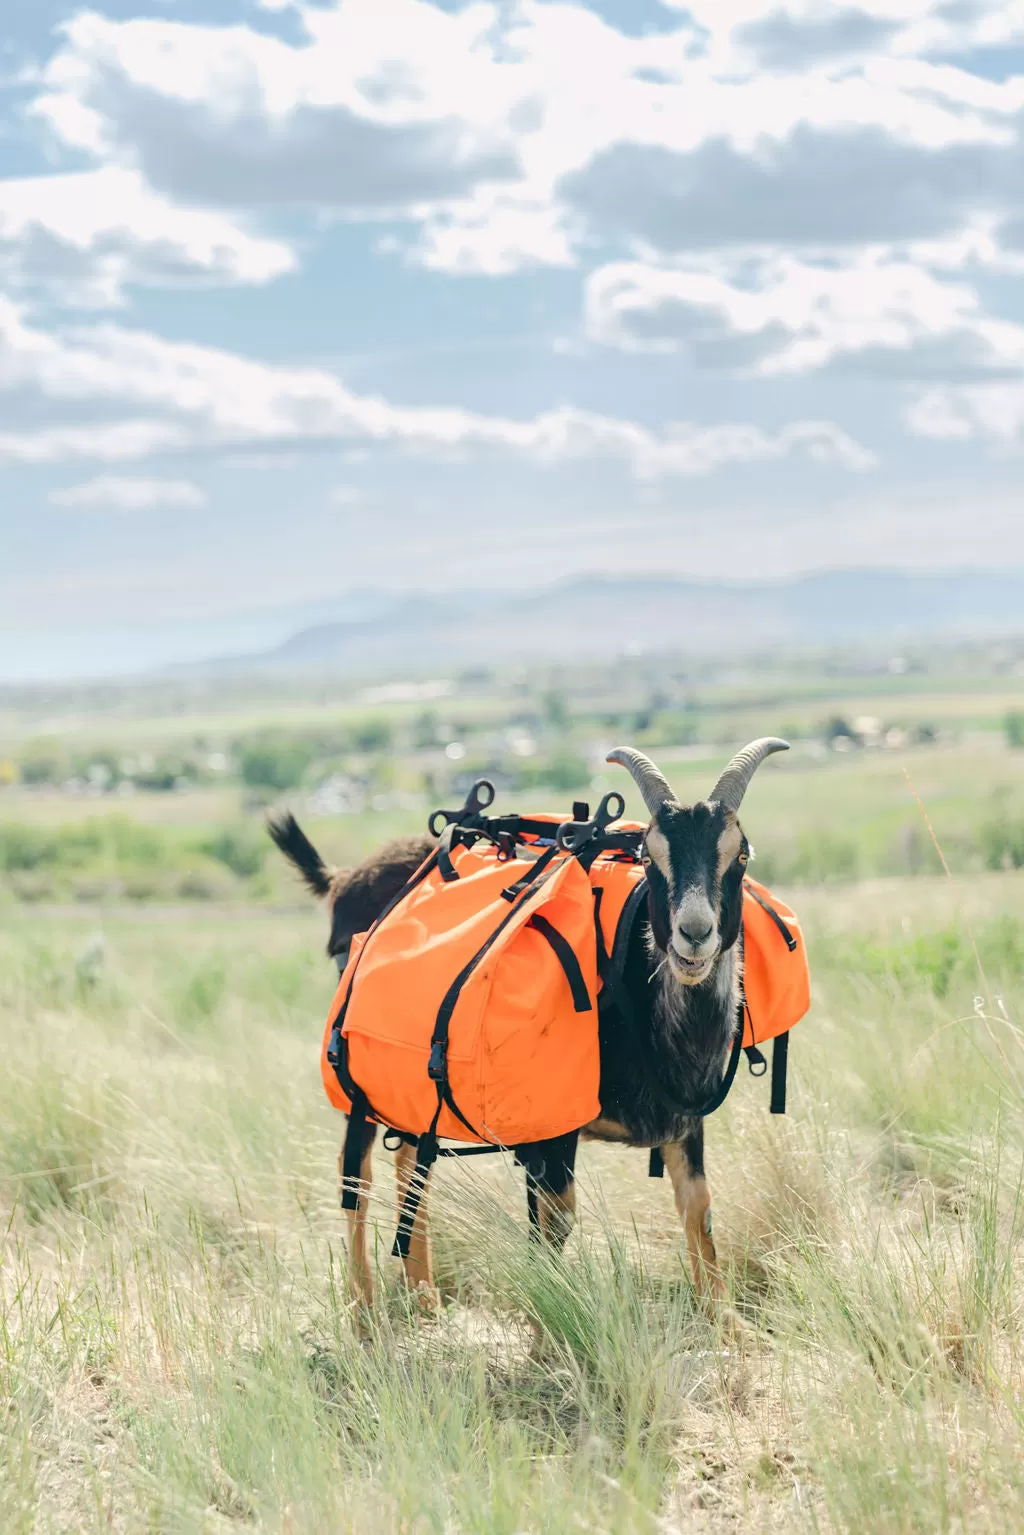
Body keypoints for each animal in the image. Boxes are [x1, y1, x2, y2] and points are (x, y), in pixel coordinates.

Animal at [268, 736, 792, 1313]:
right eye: (648, 857)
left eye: (739, 855)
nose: (693, 935)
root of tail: (346, 878)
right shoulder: (551, 1132)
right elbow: (553, 1229)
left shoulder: (685, 1124)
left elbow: (699, 1215)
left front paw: (730, 1328)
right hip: (359, 1067)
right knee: (355, 1173)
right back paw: (365, 1316)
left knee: (408, 1160)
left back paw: (425, 1300)